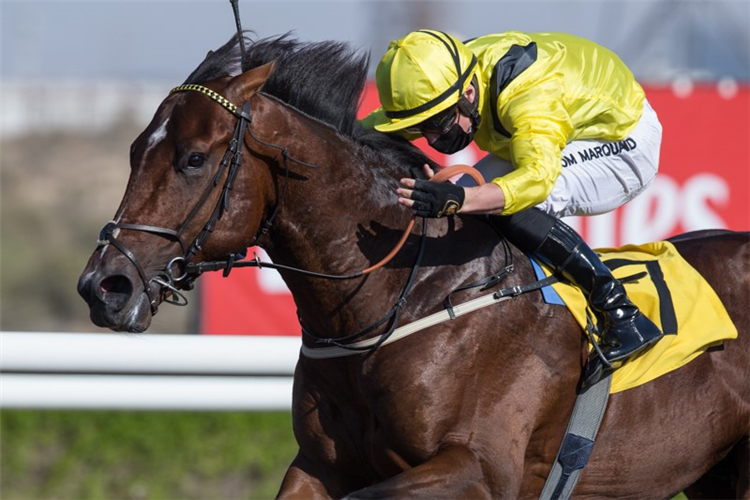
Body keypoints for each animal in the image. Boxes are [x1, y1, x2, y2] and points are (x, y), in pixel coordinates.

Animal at [78, 33, 750, 498]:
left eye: (193, 158)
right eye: (135, 150)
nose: (103, 287)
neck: (398, 300)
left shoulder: (480, 469)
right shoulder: (318, 466)